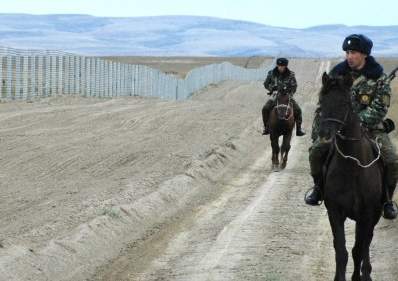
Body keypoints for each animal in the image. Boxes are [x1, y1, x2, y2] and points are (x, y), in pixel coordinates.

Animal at [318, 72, 382, 280]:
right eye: (322, 100)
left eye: (345, 103)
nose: (324, 135)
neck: (352, 167)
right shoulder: (335, 213)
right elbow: (341, 251)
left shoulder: (367, 214)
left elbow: (358, 249)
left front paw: (358, 277)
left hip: (374, 215)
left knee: (366, 243)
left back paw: (367, 272)